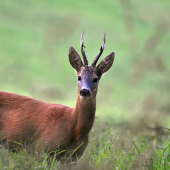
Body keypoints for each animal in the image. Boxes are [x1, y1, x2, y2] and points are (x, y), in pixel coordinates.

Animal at [0, 31, 115, 162]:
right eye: (79, 77)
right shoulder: (41, 149)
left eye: (95, 79)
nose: (85, 91)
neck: (74, 127)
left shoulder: (73, 159)